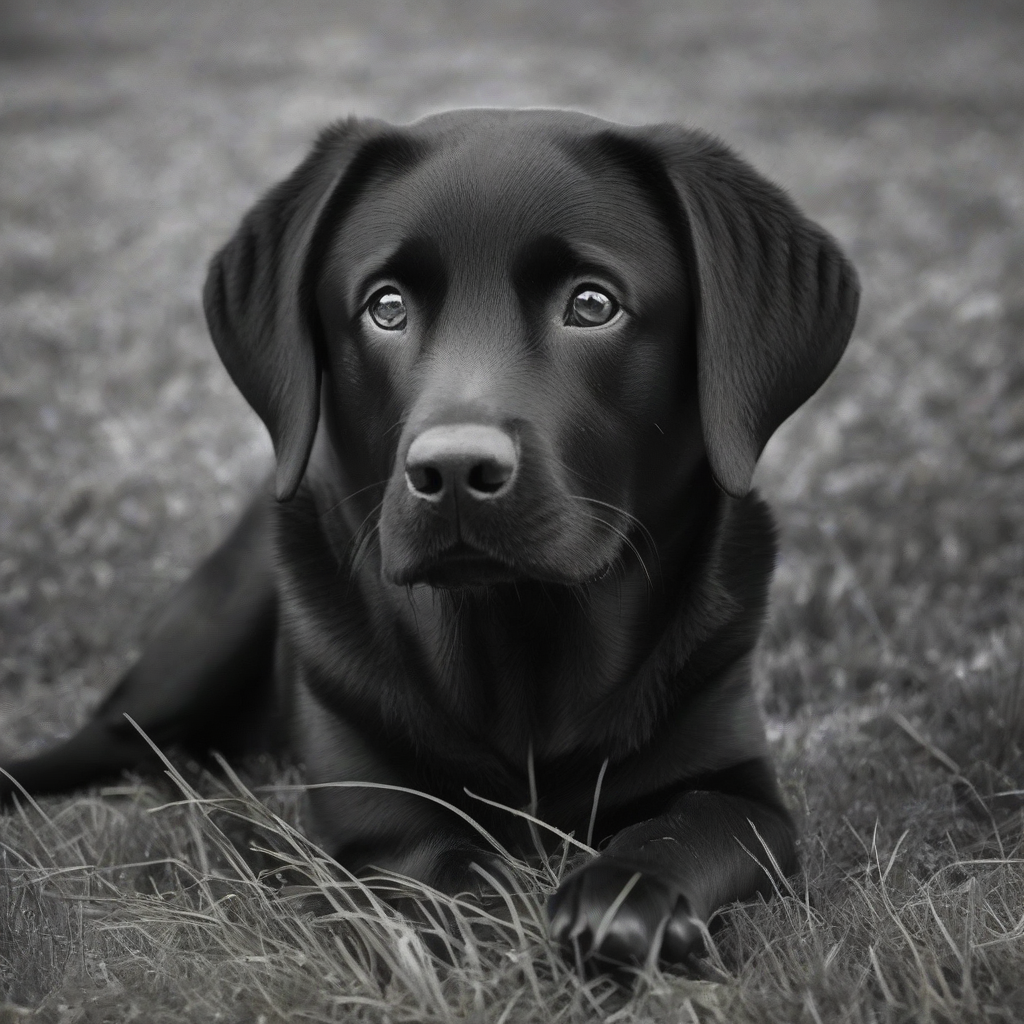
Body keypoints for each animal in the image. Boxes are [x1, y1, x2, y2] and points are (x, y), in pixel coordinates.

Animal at [0, 110, 860, 966]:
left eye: (592, 304)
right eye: (385, 307)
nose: (452, 469)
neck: (522, 652)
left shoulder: (742, 787)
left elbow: (685, 829)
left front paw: (626, 899)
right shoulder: (381, 819)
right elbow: (457, 880)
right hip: (201, 644)